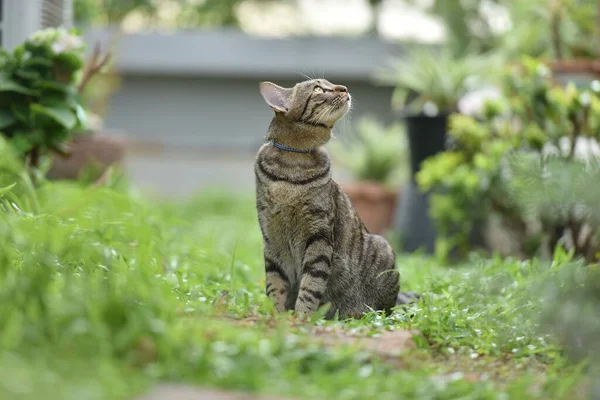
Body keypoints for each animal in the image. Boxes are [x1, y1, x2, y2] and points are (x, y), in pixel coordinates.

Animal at [255, 79, 420, 320]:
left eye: (329, 83)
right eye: (318, 89)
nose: (344, 88)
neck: (293, 163)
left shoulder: (319, 235)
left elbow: (311, 285)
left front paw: (301, 318)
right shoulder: (271, 239)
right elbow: (275, 285)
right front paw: (276, 316)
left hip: (383, 249)